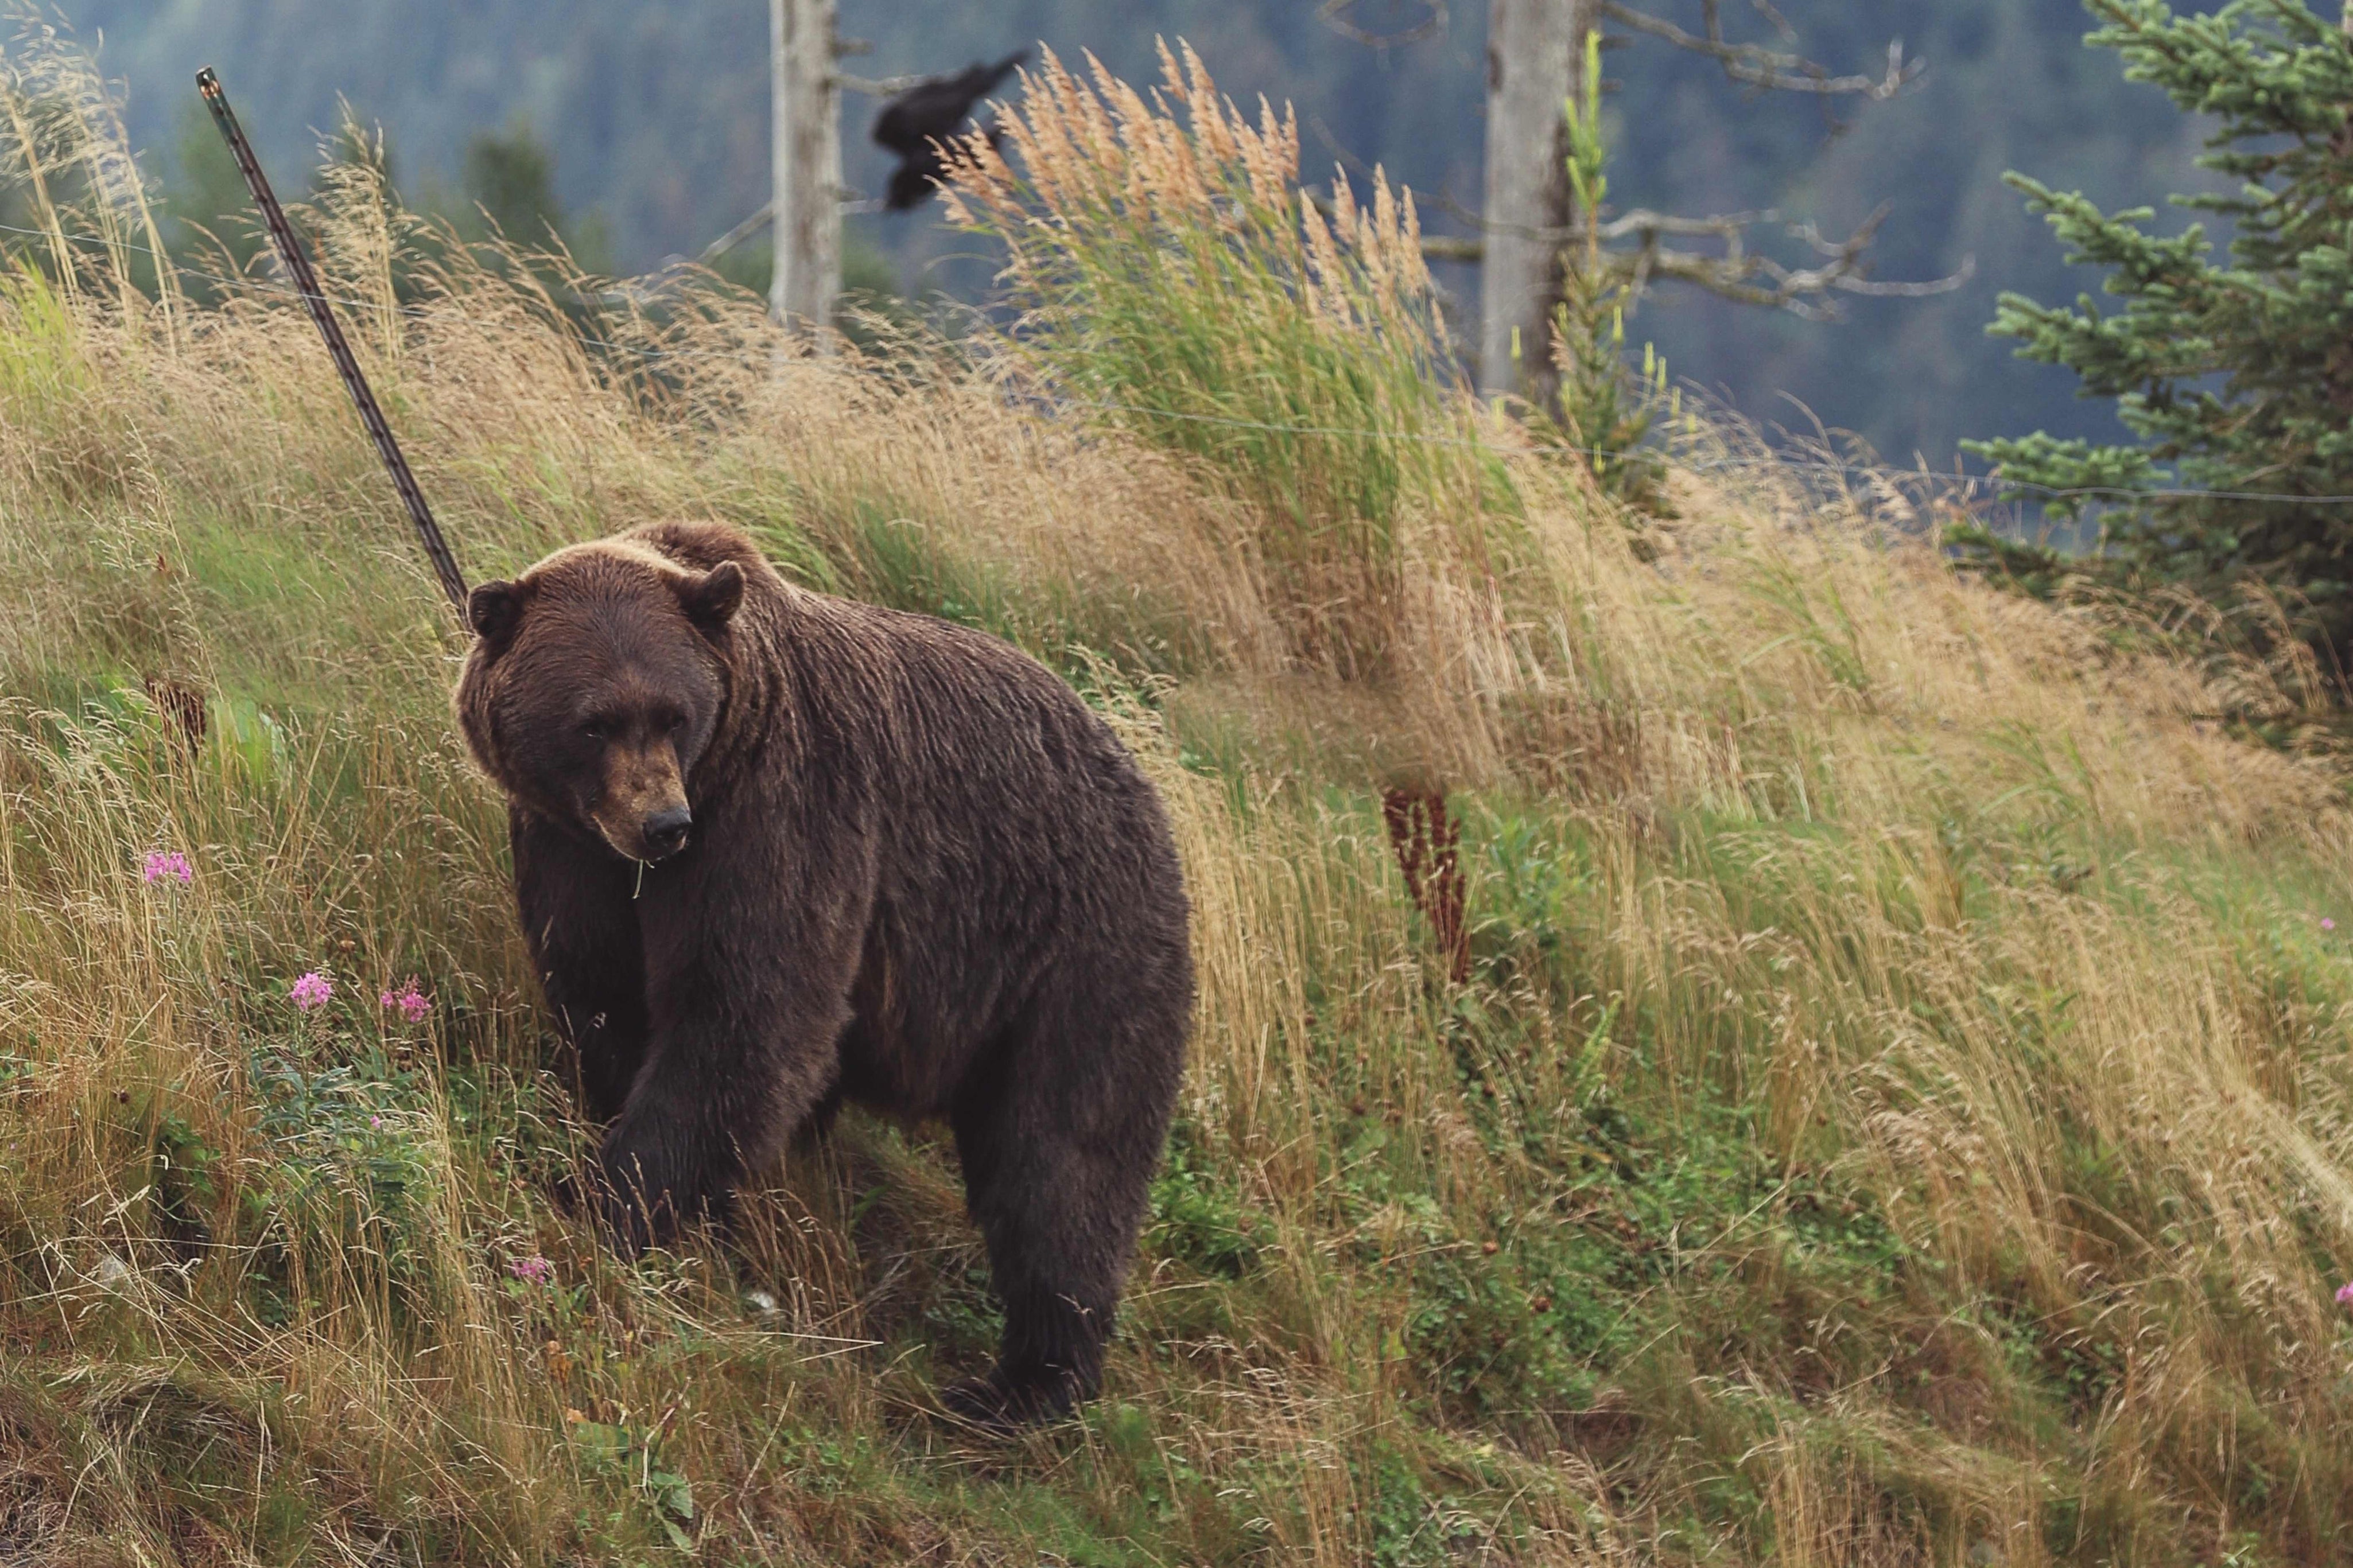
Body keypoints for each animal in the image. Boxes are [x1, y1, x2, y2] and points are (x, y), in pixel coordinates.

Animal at [454, 522, 1195, 1429]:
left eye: (673, 713)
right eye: (593, 723)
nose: (663, 824)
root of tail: (1147, 786)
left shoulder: (779, 815)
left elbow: (746, 1013)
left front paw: (606, 1201)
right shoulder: (570, 849)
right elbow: (604, 998)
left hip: (1077, 950)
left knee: (1063, 1156)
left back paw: (1026, 1382)